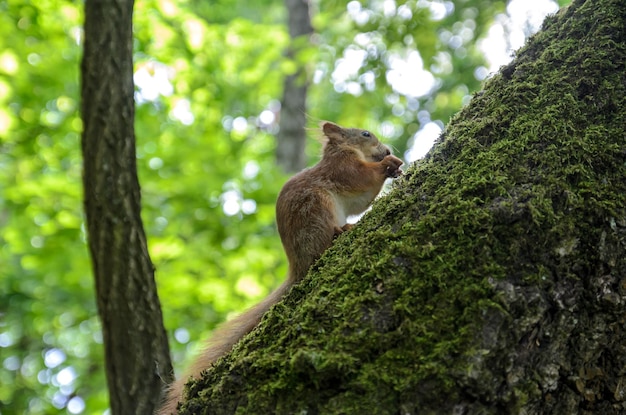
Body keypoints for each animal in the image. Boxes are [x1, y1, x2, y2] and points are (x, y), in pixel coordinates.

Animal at [158, 122, 402, 414]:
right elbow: (360, 178)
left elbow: (361, 200)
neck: (343, 150)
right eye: (366, 134)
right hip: (317, 209)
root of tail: (298, 267)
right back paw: (341, 231)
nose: (385, 150)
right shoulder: (341, 167)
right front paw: (389, 163)